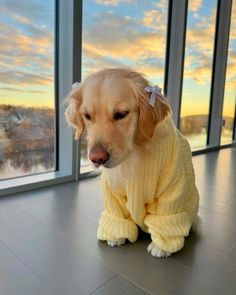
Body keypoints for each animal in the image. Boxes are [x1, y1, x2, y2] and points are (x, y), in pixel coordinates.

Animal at [65, 68, 200, 258]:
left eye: (121, 114)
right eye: (87, 116)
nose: (97, 158)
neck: (134, 153)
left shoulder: (171, 188)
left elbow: (166, 217)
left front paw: (162, 246)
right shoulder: (112, 190)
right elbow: (117, 214)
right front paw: (116, 237)